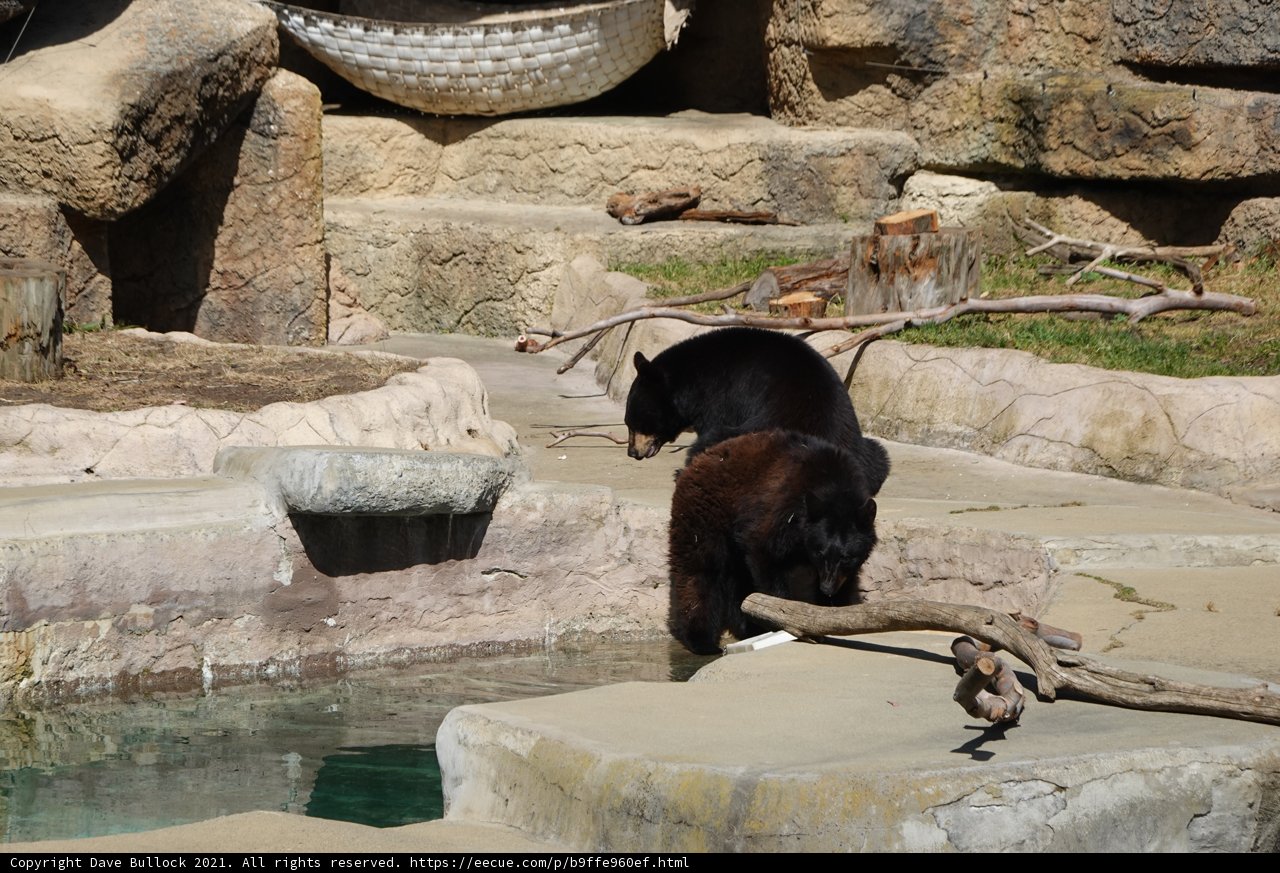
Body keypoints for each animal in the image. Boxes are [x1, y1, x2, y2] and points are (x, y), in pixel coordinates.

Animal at [667, 428, 879, 655]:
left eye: (846, 556)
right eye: (820, 552)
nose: (827, 588)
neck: (833, 484)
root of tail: (696, 462)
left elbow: (846, 579)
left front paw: (832, 611)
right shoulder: (780, 509)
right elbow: (764, 553)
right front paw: (784, 616)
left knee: (736, 577)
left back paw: (747, 627)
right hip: (705, 513)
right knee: (699, 570)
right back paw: (702, 640)